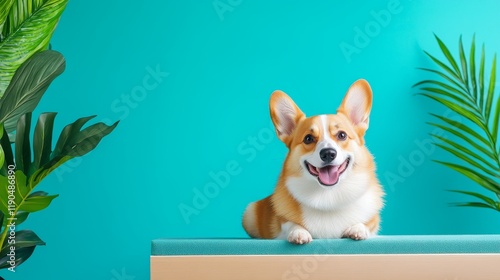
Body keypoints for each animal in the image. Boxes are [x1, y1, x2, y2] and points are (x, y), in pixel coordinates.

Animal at [242, 79, 382, 245]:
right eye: (308, 138)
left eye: (342, 135)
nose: (328, 154)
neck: (329, 196)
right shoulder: (282, 222)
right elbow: (290, 223)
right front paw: (298, 233)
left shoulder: (373, 220)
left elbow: (368, 223)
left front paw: (358, 229)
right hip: (249, 213)